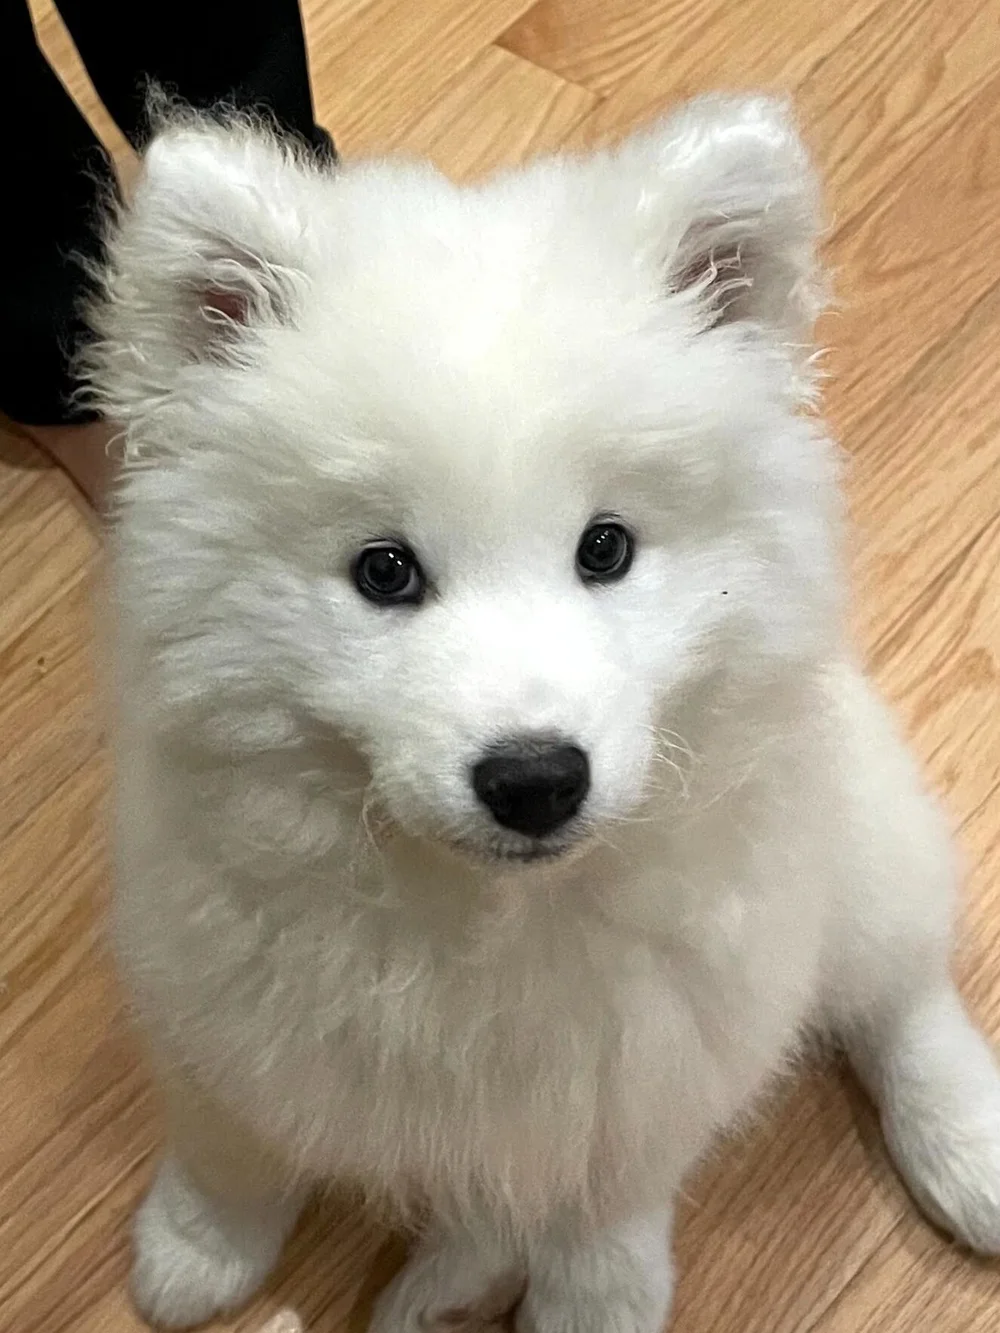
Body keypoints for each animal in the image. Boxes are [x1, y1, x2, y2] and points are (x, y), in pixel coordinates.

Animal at [84, 95, 1000, 1331]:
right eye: (384, 571)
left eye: (605, 548)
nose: (533, 779)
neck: (487, 927)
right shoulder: (219, 1014)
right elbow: (234, 1155)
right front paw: (196, 1255)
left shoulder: (656, 1058)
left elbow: (607, 1208)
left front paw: (593, 1303)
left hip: (854, 854)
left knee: (900, 992)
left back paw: (966, 1146)